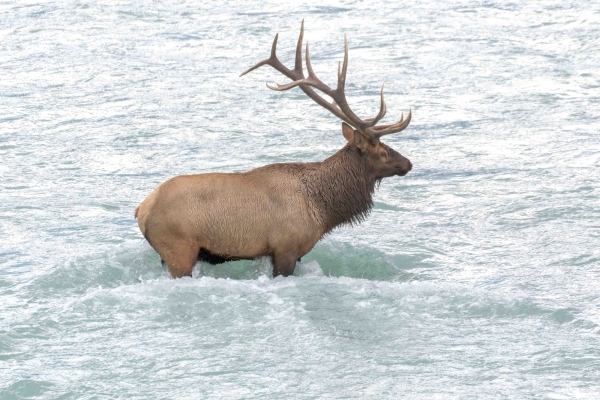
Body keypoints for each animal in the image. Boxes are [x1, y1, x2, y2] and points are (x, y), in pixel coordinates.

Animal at [135, 22, 412, 278]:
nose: (408, 163)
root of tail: (141, 210)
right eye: (383, 151)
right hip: (179, 249)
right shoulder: (285, 248)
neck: (323, 211)